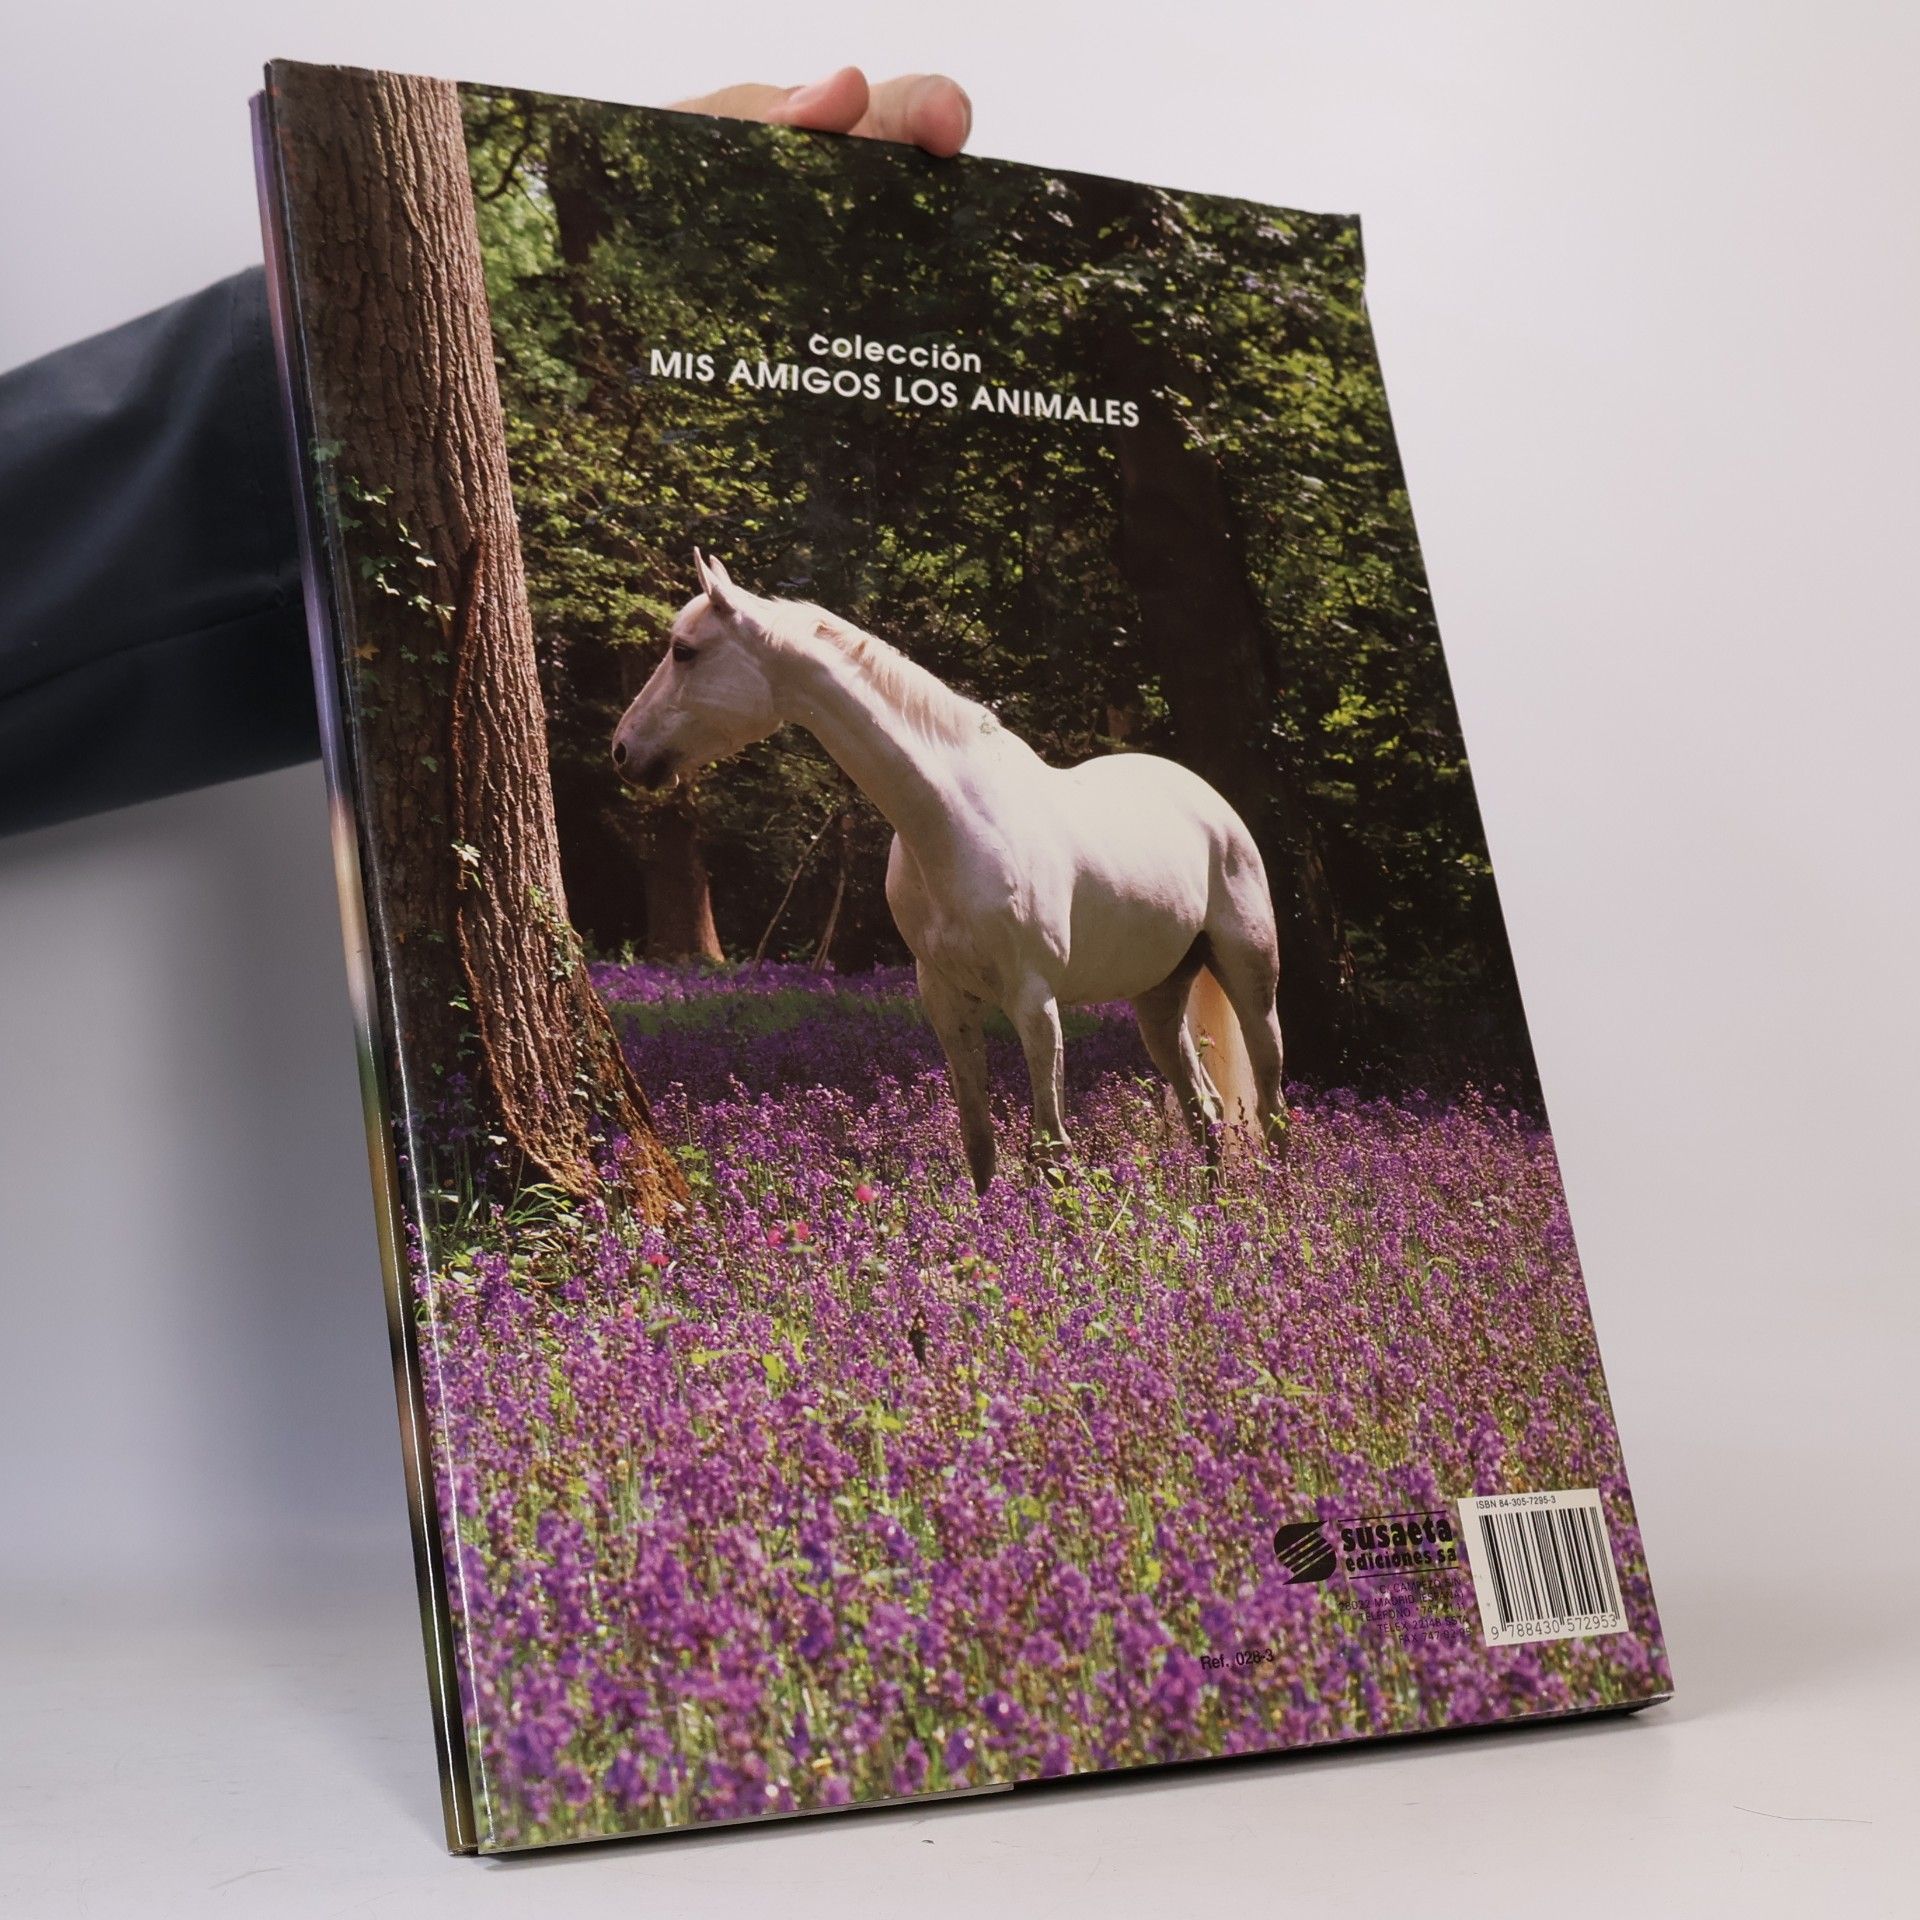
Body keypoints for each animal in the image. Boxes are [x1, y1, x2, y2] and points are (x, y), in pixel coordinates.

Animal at [612, 553, 1285, 1192]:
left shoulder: (1034, 1001)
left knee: (1270, 1105)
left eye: (684, 650)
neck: (953, 821)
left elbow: (1051, 1150)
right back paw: (1213, 1209)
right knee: (1204, 1109)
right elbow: (980, 1144)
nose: (623, 750)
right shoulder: (945, 997)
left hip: (1251, 983)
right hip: (1159, 996)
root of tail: (1208, 802)